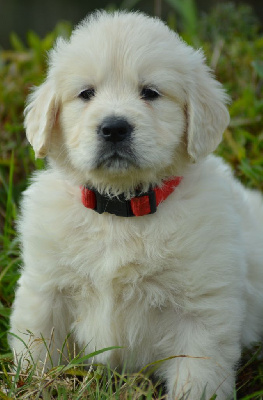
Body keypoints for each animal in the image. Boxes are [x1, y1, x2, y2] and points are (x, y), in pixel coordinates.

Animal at [8, 10, 263, 398]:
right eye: (86, 93)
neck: (122, 208)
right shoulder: (46, 288)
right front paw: (30, 385)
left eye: (150, 93)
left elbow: (197, 376)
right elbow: (37, 348)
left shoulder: (200, 307)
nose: (114, 128)